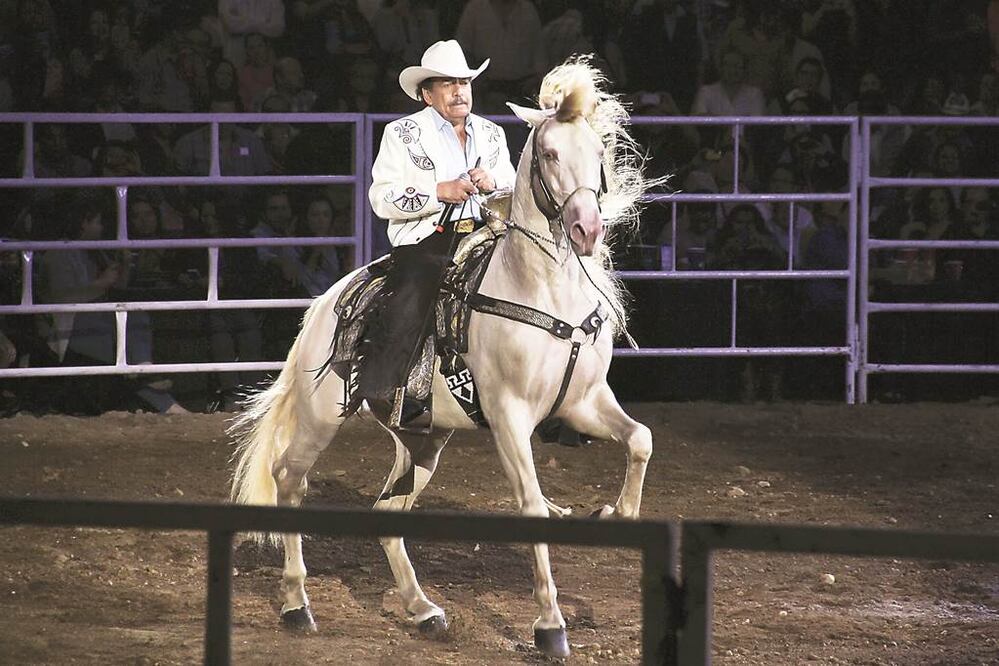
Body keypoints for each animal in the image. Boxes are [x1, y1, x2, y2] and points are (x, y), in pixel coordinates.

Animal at [229, 58, 658, 659]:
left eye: (597, 150)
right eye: (550, 153)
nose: (587, 230)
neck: (544, 291)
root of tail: (323, 306)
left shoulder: (584, 402)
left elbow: (640, 438)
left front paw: (613, 512)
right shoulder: (508, 417)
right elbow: (532, 505)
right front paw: (550, 625)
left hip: (424, 440)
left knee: (388, 513)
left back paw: (423, 609)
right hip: (320, 417)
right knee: (289, 480)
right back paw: (297, 604)